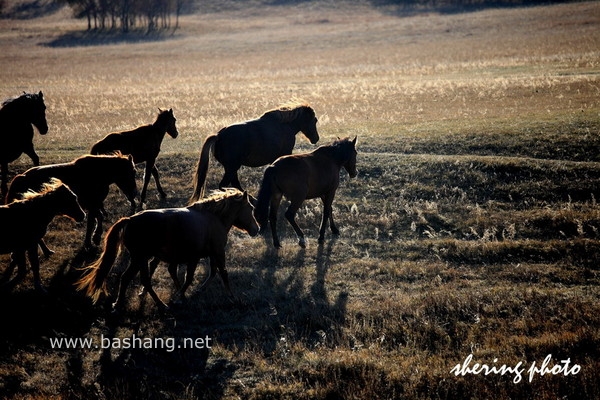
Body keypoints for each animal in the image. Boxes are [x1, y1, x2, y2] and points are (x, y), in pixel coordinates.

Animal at [5, 152, 137, 252]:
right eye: (131, 172)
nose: (134, 193)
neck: (95, 173)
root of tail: (19, 178)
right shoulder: (92, 204)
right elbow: (94, 220)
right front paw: (93, 239)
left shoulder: (94, 204)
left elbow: (96, 218)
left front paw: (93, 239)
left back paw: (47, 251)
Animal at [76, 189, 258, 310]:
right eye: (250, 208)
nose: (256, 229)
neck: (214, 219)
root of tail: (130, 220)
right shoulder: (216, 253)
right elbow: (218, 275)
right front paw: (232, 298)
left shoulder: (202, 256)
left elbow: (206, 274)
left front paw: (188, 294)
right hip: (140, 258)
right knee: (141, 280)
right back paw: (160, 304)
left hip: (139, 259)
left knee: (128, 278)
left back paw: (120, 304)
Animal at [191, 101, 322, 202]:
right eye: (314, 120)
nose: (316, 138)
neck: (285, 126)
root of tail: (219, 136)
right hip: (232, 167)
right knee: (224, 185)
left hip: (231, 168)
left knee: (234, 183)